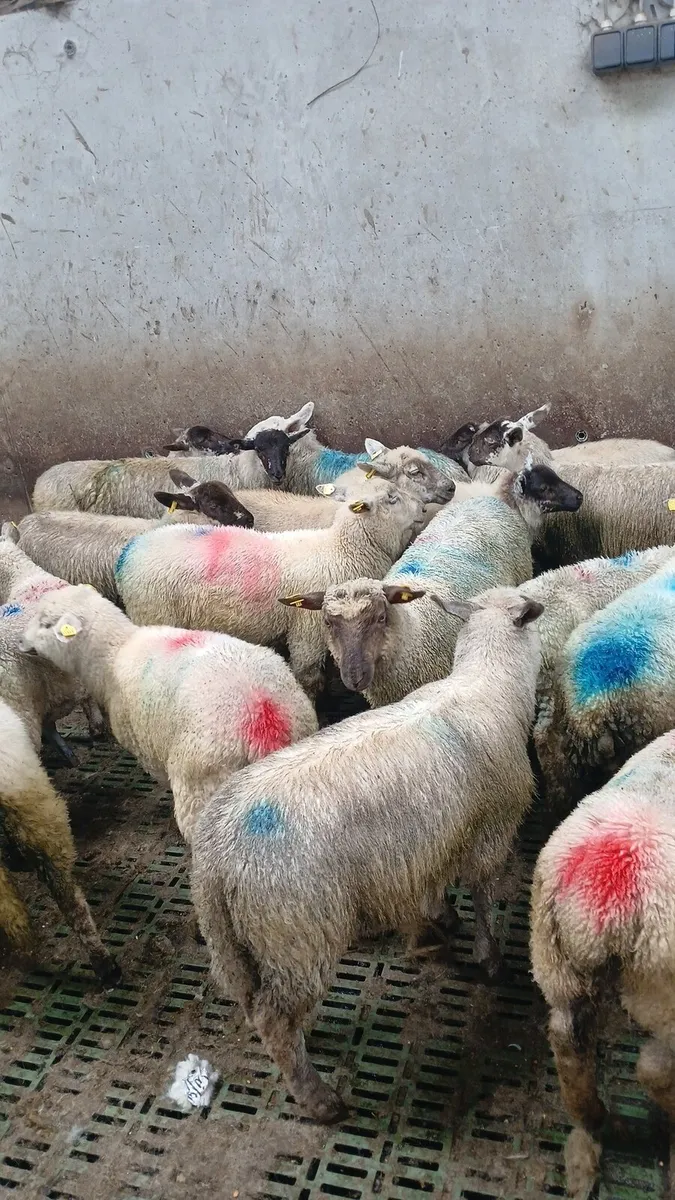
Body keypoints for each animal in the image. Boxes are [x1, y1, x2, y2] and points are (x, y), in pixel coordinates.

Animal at [19, 585, 318, 843]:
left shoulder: (146, 743)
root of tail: (264, 714)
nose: (20, 640)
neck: (114, 653)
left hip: (201, 784)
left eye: (46, 623)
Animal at [114, 481, 426, 696]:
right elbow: (310, 679)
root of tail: (130, 551)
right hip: (152, 612)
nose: (424, 508)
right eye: (392, 498)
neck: (343, 549)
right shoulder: (307, 630)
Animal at [190, 587, 543, 1123]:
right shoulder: (490, 831)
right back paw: (318, 1099)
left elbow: (435, 883)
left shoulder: (430, 839)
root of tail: (215, 855)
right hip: (296, 933)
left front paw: (441, 917)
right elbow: (483, 895)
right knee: (275, 1018)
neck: (488, 686)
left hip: (235, 943)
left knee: (258, 1004)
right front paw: (489, 956)